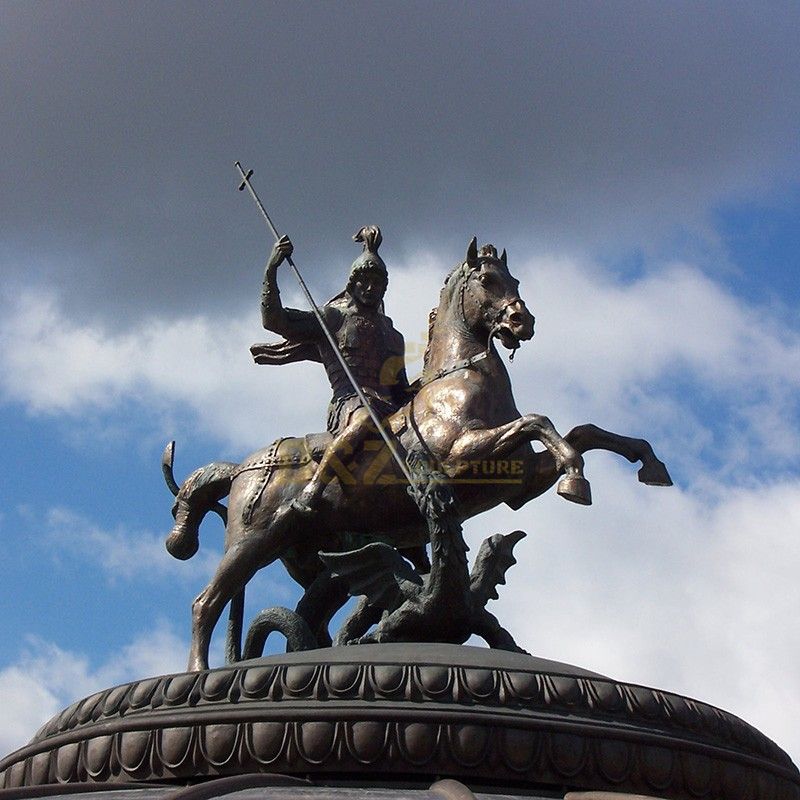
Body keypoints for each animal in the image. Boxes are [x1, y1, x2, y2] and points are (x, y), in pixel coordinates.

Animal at [167, 238, 668, 668]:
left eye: (516, 281)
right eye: (488, 280)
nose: (521, 323)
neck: (460, 379)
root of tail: (242, 468)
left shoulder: (520, 479)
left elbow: (582, 431)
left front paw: (646, 464)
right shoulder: (464, 457)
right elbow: (539, 421)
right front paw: (577, 479)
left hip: (312, 558)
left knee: (313, 608)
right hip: (254, 539)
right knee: (205, 602)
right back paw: (199, 672)